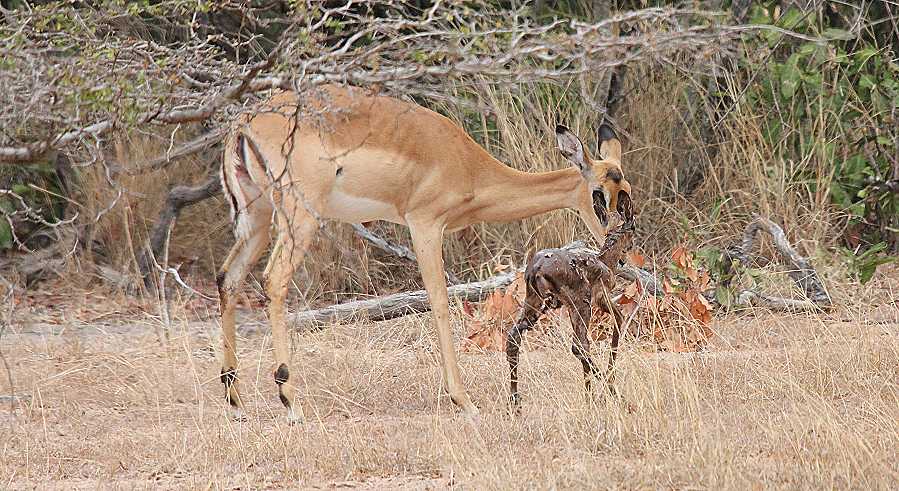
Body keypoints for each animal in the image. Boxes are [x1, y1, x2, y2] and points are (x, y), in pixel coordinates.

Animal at [216, 84, 632, 422]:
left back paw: (235, 401)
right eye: (600, 195)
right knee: (274, 280)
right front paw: (463, 400)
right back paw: (290, 402)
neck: (466, 163)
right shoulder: (425, 225)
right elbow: (440, 302)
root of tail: (246, 123)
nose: (620, 248)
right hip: (298, 219)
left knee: (228, 278)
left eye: (626, 190)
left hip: (256, 219)